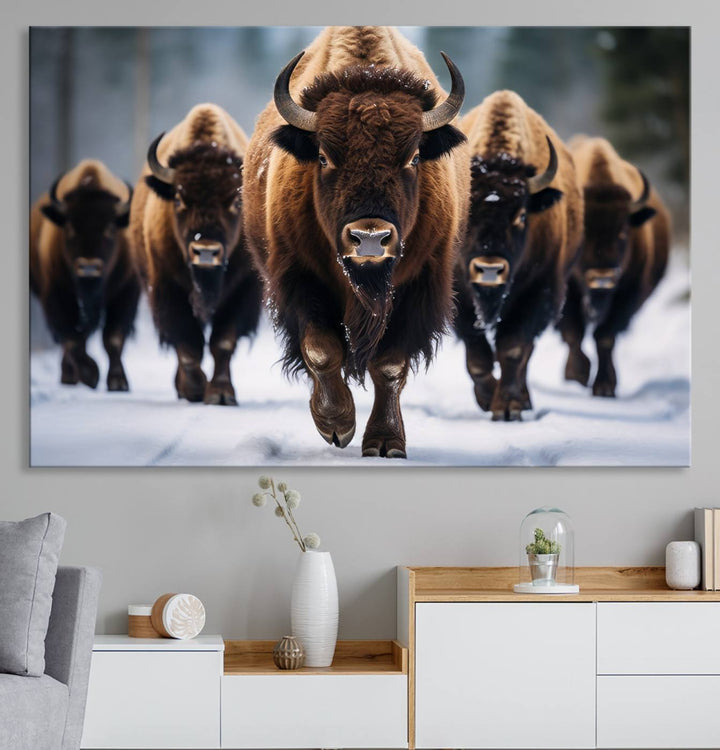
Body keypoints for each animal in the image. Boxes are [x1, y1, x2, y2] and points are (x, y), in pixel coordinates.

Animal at [29, 161, 139, 390]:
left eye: (110, 228)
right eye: (70, 227)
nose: (88, 267)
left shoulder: (126, 292)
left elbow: (113, 338)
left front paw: (118, 382)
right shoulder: (55, 295)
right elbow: (72, 339)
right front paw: (90, 374)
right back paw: (69, 376)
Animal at [130, 104, 264, 406]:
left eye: (235, 201)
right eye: (179, 199)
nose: (206, 251)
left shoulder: (242, 291)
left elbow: (222, 342)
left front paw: (221, 394)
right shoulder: (168, 288)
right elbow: (188, 344)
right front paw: (194, 389)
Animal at [242, 26, 470, 458]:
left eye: (414, 157)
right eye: (324, 156)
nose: (369, 239)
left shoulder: (418, 285)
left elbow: (390, 365)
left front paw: (385, 442)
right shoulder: (300, 278)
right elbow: (321, 349)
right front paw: (336, 424)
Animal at [456, 90, 584, 420]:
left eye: (522, 215)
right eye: (467, 212)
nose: (489, 269)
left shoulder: (538, 292)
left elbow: (513, 349)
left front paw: (508, 407)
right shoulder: (461, 299)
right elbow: (478, 357)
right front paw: (487, 398)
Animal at [556, 135, 668, 396]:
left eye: (623, 231)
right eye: (583, 232)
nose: (602, 278)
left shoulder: (626, 295)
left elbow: (605, 337)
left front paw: (605, 386)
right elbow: (574, 332)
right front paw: (576, 375)